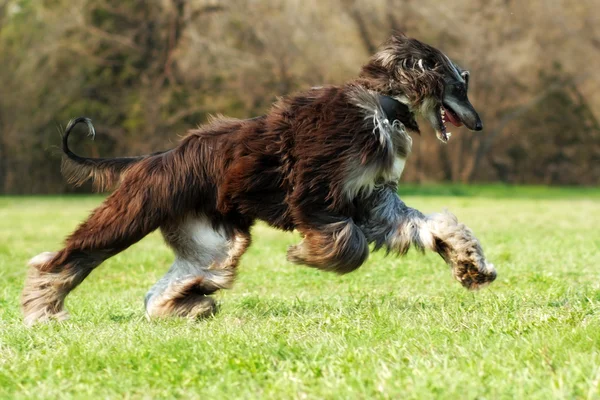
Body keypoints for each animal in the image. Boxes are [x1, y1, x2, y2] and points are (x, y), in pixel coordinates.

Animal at [21, 32, 494, 324]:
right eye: (459, 85)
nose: (479, 125)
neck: (381, 107)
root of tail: (153, 158)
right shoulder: (315, 192)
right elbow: (349, 244)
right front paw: (306, 255)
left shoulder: (372, 198)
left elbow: (428, 225)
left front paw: (471, 264)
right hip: (136, 210)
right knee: (66, 258)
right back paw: (42, 310)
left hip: (215, 238)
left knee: (173, 284)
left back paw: (186, 304)